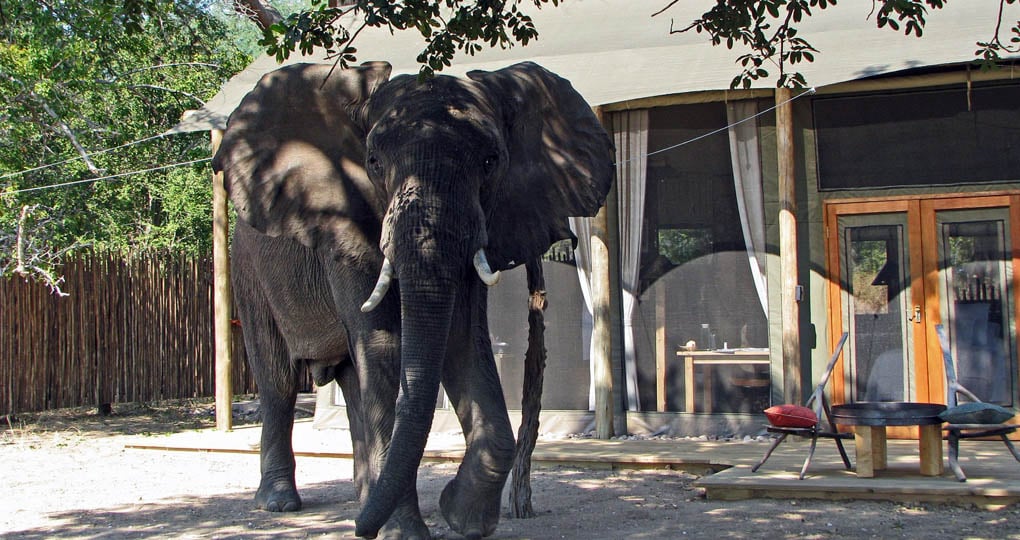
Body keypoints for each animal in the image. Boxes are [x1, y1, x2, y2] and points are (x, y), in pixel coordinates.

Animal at [212, 60, 614, 539]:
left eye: (491, 161)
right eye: (373, 162)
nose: (359, 531)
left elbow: (461, 340)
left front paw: (461, 517)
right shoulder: (346, 229)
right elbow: (383, 342)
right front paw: (403, 532)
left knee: (351, 381)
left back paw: (362, 497)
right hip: (248, 269)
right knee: (278, 379)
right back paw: (280, 503)